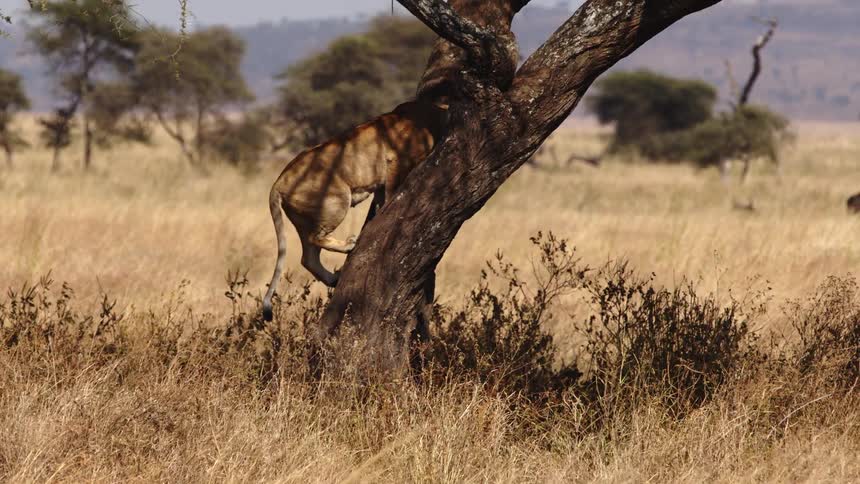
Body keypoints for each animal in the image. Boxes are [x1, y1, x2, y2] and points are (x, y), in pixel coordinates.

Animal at [262, 100, 448, 321]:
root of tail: (279, 181)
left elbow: (382, 198)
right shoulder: (396, 161)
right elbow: (392, 192)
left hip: (305, 218)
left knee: (308, 258)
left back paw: (334, 279)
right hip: (337, 200)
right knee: (315, 239)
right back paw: (349, 245)